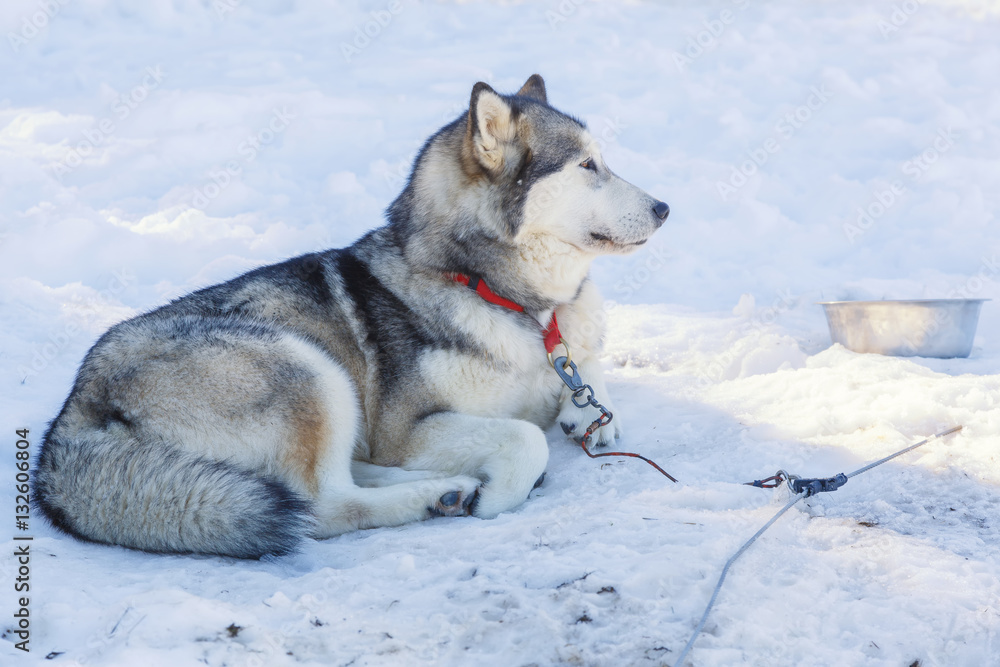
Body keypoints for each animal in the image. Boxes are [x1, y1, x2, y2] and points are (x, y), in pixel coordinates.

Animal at [35, 75, 668, 560]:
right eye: (587, 165)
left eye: (604, 161)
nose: (664, 208)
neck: (505, 298)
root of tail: (68, 422)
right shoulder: (405, 428)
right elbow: (524, 436)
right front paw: (504, 494)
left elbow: (586, 370)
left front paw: (587, 412)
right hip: (309, 370)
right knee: (323, 504)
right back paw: (441, 494)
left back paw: (443, 486)